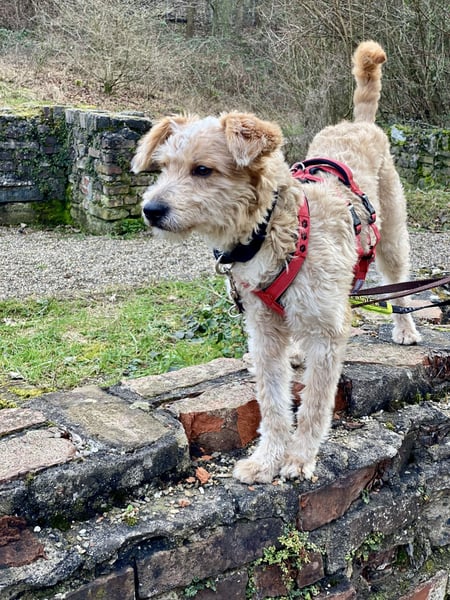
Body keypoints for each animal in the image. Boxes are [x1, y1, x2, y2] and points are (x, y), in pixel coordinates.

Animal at [131, 41, 421, 484]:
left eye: (203, 170)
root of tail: (358, 124)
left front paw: (300, 458)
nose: (151, 210)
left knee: (400, 283)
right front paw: (267, 459)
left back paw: (405, 328)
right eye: (162, 168)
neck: (271, 229)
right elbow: (271, 400)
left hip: (391, 237)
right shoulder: (263, 331)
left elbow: (315, 404)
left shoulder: (328, 330)